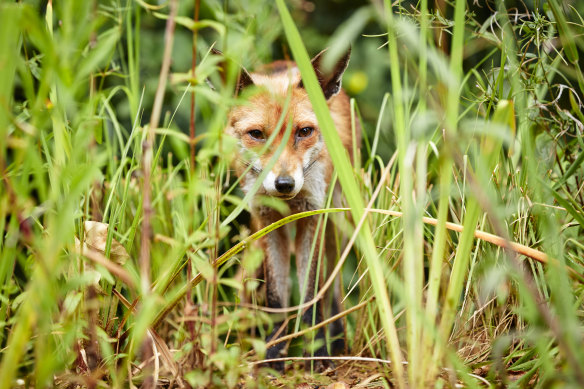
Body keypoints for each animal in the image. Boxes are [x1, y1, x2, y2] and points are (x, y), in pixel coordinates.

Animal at [220, 47, 358, 370]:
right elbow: (275, 296)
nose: (284, 183)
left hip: (337, 225)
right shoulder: (267, 221)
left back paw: (337, 341)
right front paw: (273, 354)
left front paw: (317, 354)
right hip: (254, 243)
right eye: (257, 134)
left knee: (334, 291)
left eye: (304, 131)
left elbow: (311, 296)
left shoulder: (313, 215)